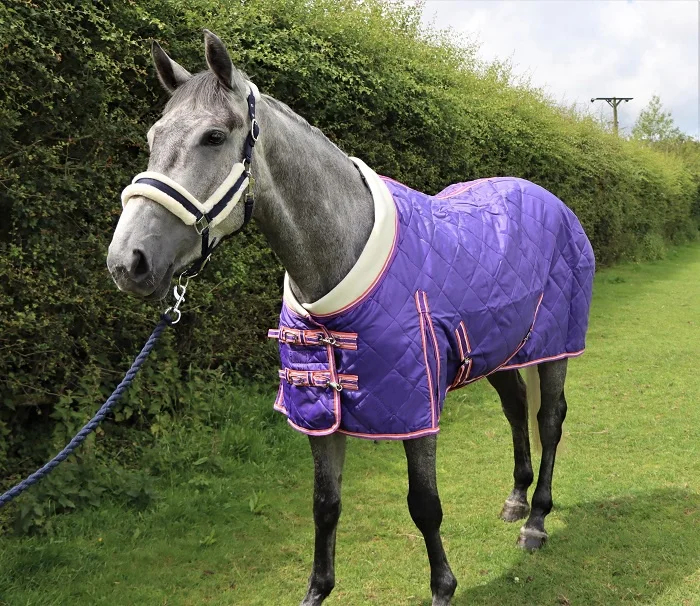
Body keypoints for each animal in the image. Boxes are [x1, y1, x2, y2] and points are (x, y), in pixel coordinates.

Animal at [107, 31, 594, 606]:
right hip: (497, 350)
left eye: (213, 137)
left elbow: (424, 505)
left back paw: (536, 520)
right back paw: (517, 499)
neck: (340, 261)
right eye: (153, 136)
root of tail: (548, 199)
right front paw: (317, 591)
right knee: (518, 410)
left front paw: (443, 588)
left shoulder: (415, 407)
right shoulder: (320, 409)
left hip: (554, 347)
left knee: (549, 419)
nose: (127, 261)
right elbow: (325, 505)